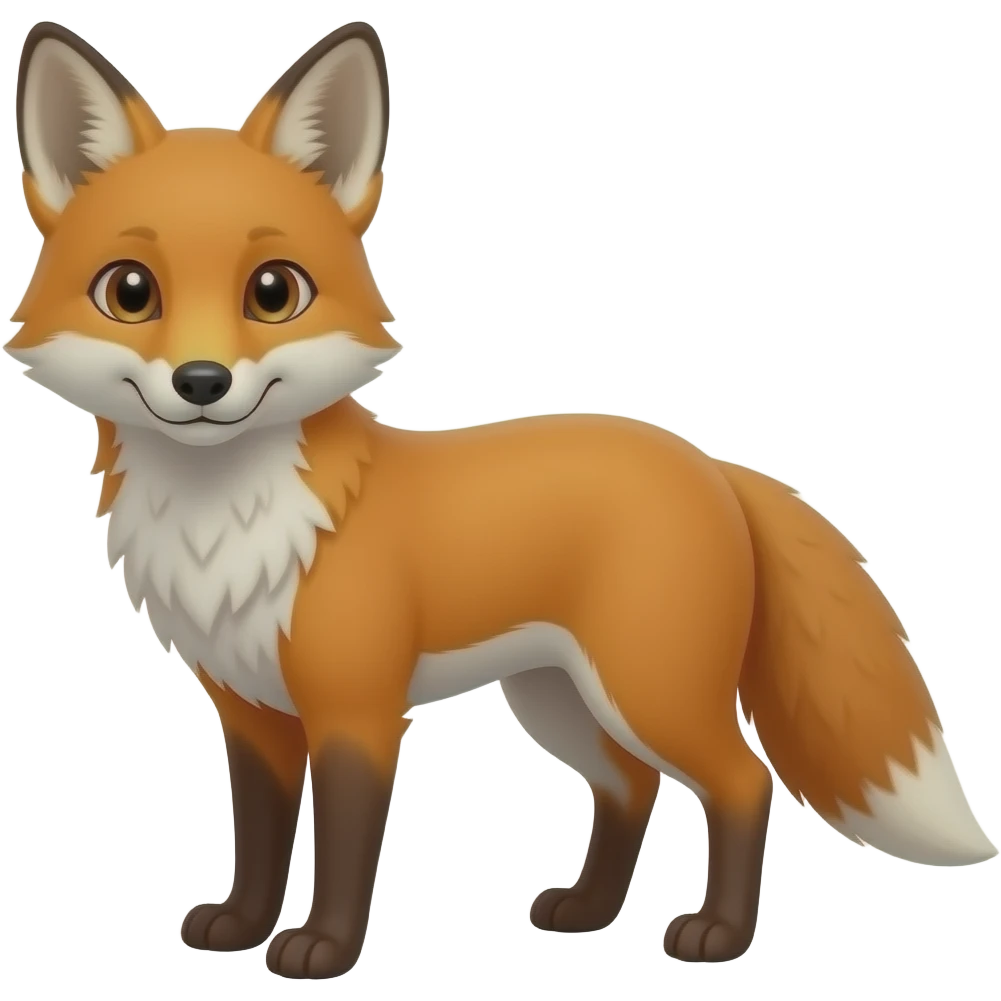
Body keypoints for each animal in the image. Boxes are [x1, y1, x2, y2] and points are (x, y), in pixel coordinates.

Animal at [7, 18, 997, 982]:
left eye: (273, 291)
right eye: (131, 291)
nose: (202, 382)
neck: (230, 525)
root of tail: (709, 461)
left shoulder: (359, 708)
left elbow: (346, 848)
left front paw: (322, 949)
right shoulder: (251, 712)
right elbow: (257, 838)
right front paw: (242, 925)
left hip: (647, 689)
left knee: (743, 783)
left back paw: (716, 933)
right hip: (559, 700)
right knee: (630, 786)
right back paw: (587, 911)